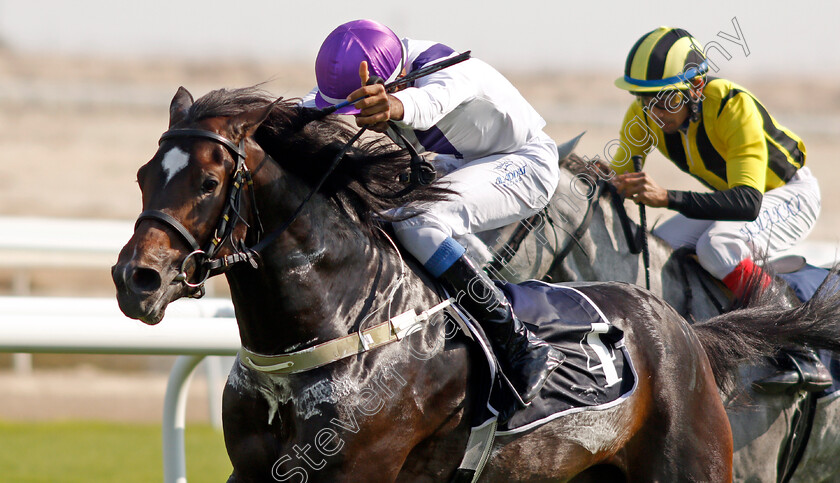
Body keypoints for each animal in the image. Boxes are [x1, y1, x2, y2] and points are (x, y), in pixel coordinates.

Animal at [111, 88, 840, 483]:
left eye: (208, 181)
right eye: (145, 174)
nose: (134, 278)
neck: (341, 322)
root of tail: (685, 328)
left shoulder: (356, 467)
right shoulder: (253, 466)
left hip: (694, 463)